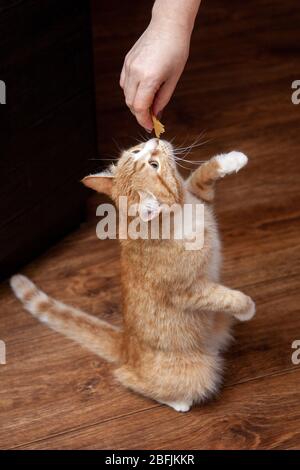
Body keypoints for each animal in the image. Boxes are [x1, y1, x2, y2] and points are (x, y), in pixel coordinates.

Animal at [11, 139, 255, 412]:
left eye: (140, 152)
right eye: (154, 164)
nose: (155, 141)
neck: (179, 212)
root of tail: (126, 344)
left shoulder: (198, 195)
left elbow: (202, 174)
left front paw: (233, 159)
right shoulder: (188, 290)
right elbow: (223, 297)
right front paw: (246, 307)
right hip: (194, 373)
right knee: (128, 378)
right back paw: (178, 401)